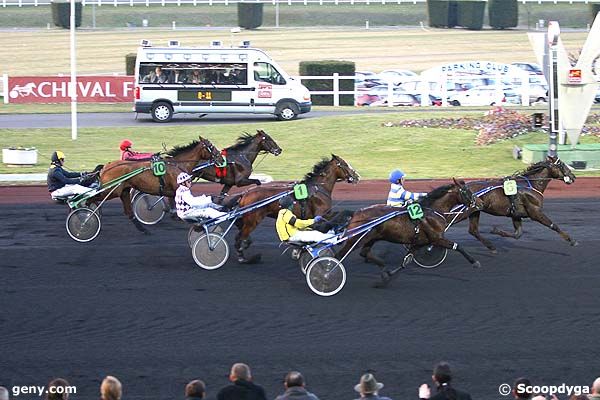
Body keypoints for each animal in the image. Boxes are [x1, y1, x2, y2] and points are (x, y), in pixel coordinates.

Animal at [336, 180, 486, 286]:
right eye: (467, 191)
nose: (481, 203)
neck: (432, 211)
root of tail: (356, 213)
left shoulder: (421, 242)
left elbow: (406, 261)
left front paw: (388, 275)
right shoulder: (436, 239)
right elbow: (458, 246)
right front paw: (475, 262)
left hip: (370, 238)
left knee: (364, 253)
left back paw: (383, 268)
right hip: (355, 239)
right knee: (339, 256)